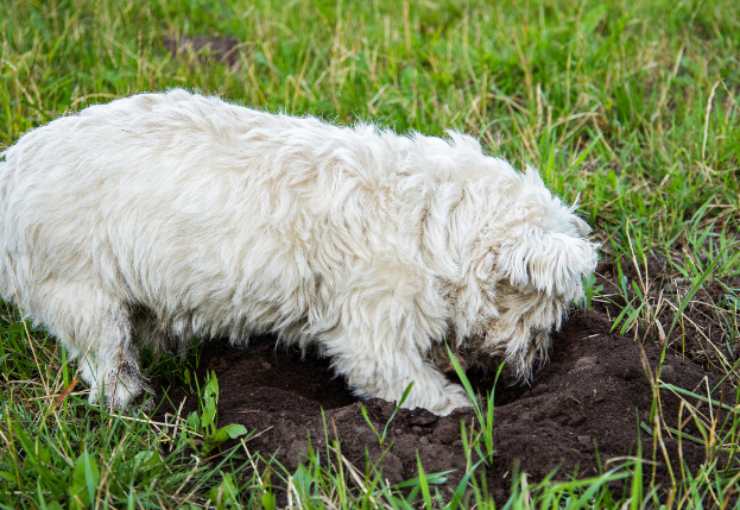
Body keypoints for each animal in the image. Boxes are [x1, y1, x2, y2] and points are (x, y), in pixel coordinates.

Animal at [0, 89, 600, 416]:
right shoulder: (373, 329)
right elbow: (406, 381)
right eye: (545, 314)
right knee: (107, 363)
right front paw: (460, 410)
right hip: (81, 293)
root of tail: (14, 165)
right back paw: (133, 404)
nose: (526, 373)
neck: (431, 221)